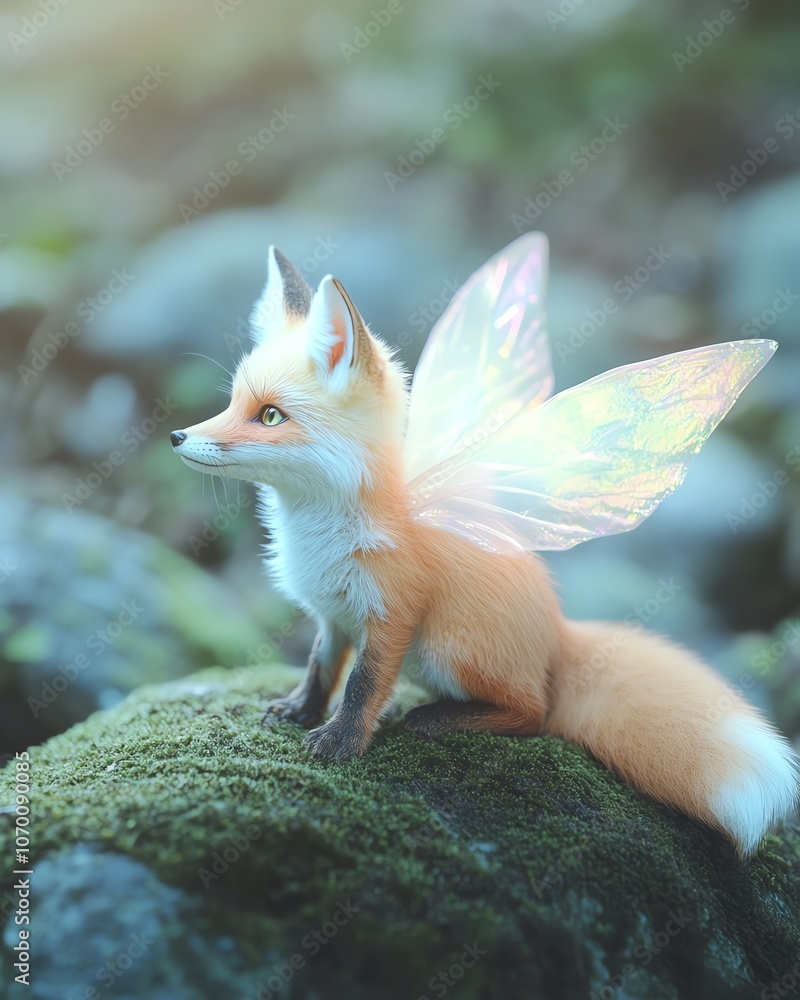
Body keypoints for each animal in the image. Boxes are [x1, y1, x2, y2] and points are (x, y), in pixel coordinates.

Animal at [171, 238, 799, 856]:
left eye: (270, 415)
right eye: (233, 404)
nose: (178, 437)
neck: (319, 533)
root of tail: (559, 634)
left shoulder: (393, 614)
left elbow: (362, 686)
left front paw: (342, 741)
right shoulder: (334, 615)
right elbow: (321, 668)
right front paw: (300, 710)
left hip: (446, 647)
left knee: (535, 714)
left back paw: (440, 718)